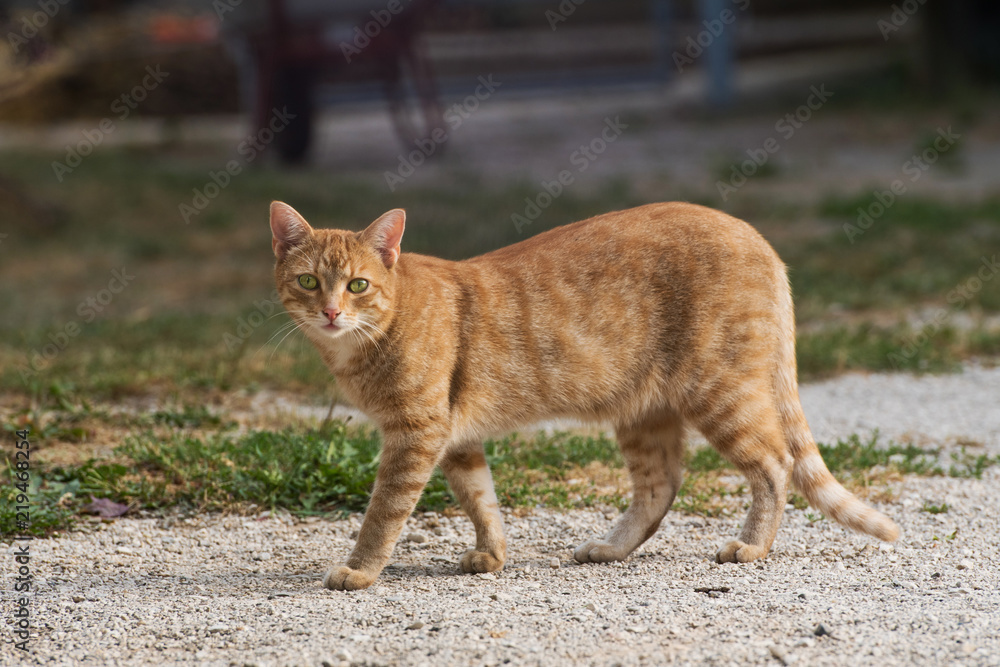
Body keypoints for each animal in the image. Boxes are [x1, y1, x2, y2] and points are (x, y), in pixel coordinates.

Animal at [270, 202, 904, 588]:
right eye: (308, 281)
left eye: (357, 285)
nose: (331, 312)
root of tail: (751, 231)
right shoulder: (455, 439)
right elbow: (481, 500)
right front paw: (492, 555)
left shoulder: (414, 434)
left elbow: (383, 514)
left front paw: (359, 571)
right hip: (646, 412)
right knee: (661, 485)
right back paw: (611, 548)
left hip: (719, 393)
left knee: (774, 465)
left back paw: (750, 548)